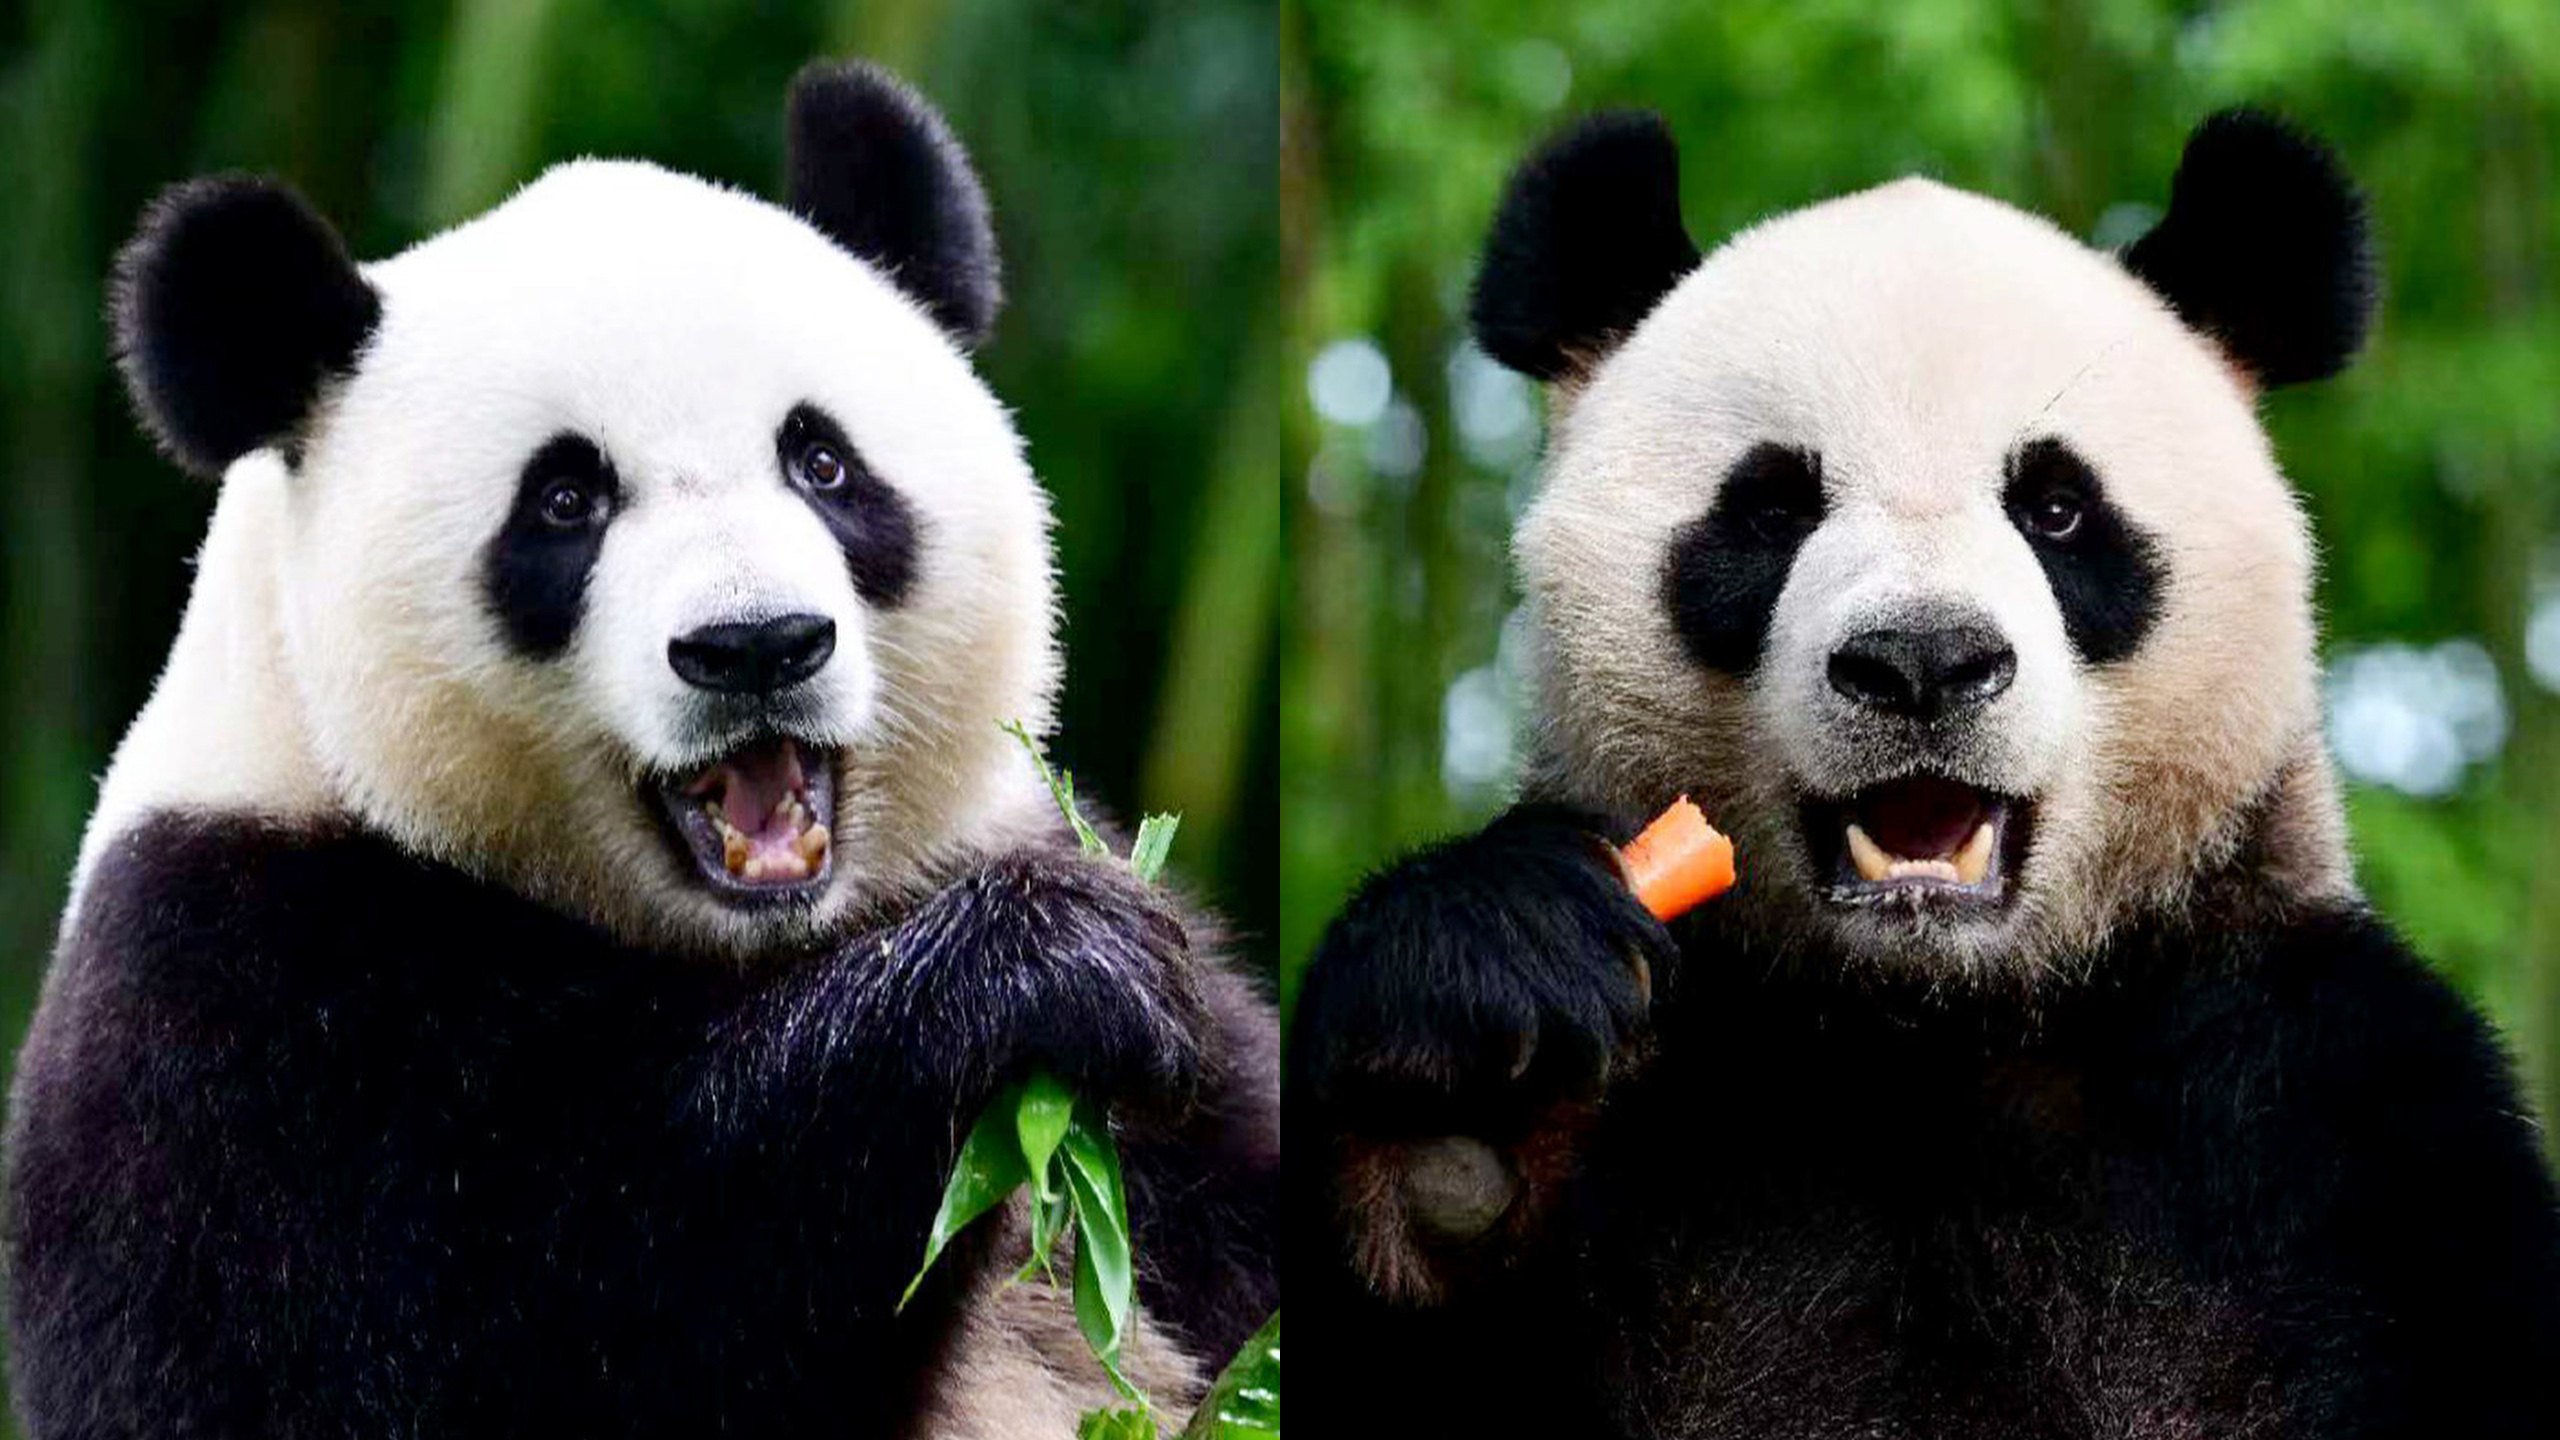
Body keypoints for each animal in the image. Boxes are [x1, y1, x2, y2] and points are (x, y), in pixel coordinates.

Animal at [0, 58, 1280, 1434]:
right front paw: (1037, 970)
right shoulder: (228, 992)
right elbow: (477, 1344)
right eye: (565, 501)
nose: (757, 645)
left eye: (821, 460)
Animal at [1290, 106, 2560, 1424]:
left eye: (2057, 509)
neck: (1929, 1028)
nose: (1921, 662)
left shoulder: (2333, 1110)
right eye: (1769, 509)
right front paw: (1462, 1093)